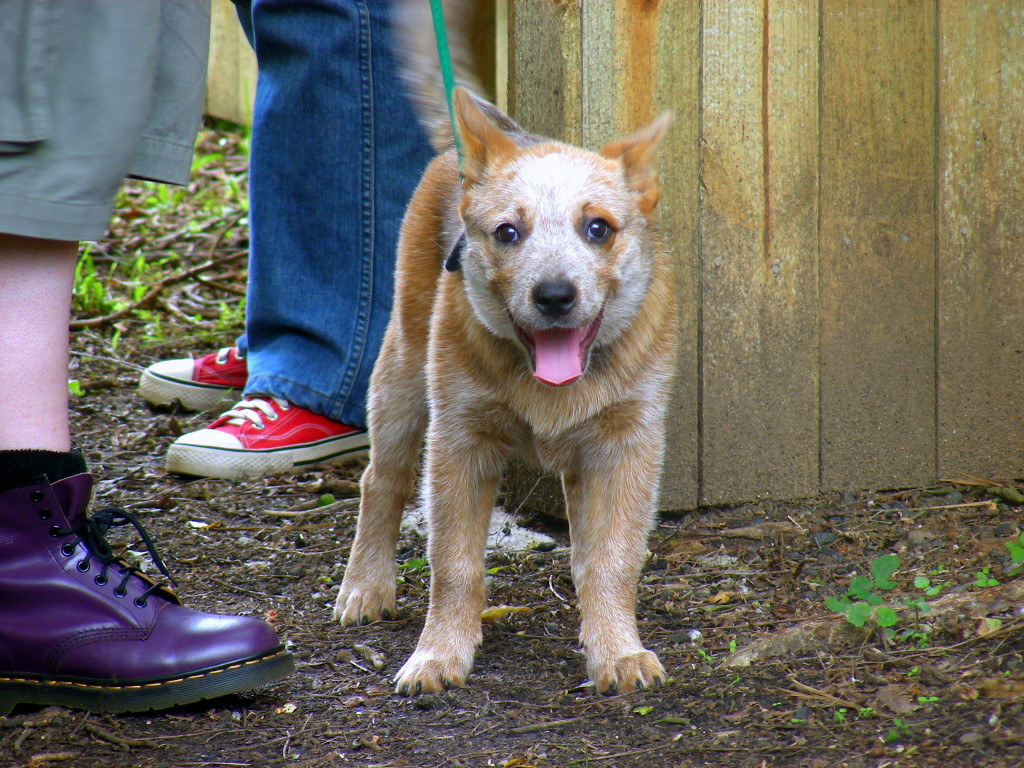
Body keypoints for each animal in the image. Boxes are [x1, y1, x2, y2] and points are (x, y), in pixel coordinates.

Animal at [331, 83, 675, 696]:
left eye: (598, 228)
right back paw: (366, 585)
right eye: (507, 232)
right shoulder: (459, 442)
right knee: (381, 479)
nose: (555, 295)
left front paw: (617, 650)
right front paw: (438, 654)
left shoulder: (628, 444)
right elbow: (453, 563)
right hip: (401, 369)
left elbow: (611, 558)